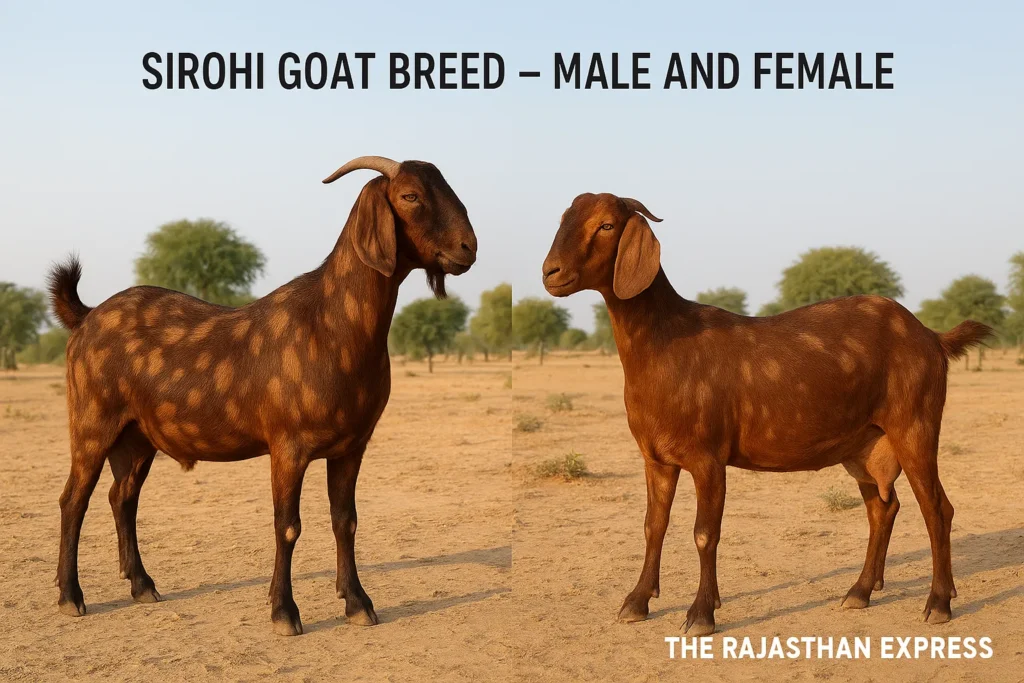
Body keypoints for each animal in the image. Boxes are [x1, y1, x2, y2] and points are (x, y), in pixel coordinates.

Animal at [48, 156, 477, 635]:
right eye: (410, 195)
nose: (468, 247)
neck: (332, 324)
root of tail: (85, 317)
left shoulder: (352, 445)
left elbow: (345, 521)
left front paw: (358, 603)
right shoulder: (289, 446)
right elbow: (287, 526)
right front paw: (284, 612)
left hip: (136, 438)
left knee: (122, 497)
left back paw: (142, 585)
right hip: (92, 422)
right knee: (74, 500)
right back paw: (70, 596)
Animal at [541, 192, 993, 635]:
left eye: (606, 225)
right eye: (563, 218)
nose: (550, 272)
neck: (666, 342)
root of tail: (932, 336)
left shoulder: (708, 458)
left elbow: (705, 533)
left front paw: (701, 613)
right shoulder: (655, 458)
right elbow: (654, 525)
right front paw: (637, 602)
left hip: (916, 425)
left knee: (937, 509)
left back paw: (938, 603)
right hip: (864, 446)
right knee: (882, 507)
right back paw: (860, 592)